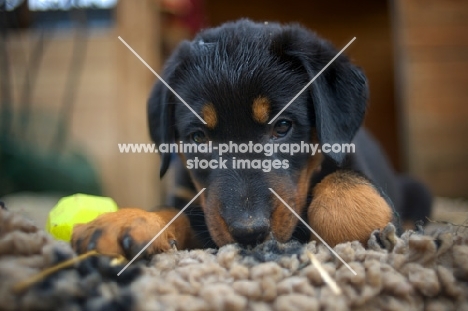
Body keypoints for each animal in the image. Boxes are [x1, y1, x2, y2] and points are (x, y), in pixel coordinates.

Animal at [71, 18, 434, 258]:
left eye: (282, 126)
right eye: (198, 137)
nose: (249, 233)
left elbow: (344, 184)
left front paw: (365, 233)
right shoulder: (192, 200)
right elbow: (173, 211)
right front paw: (126, 222)